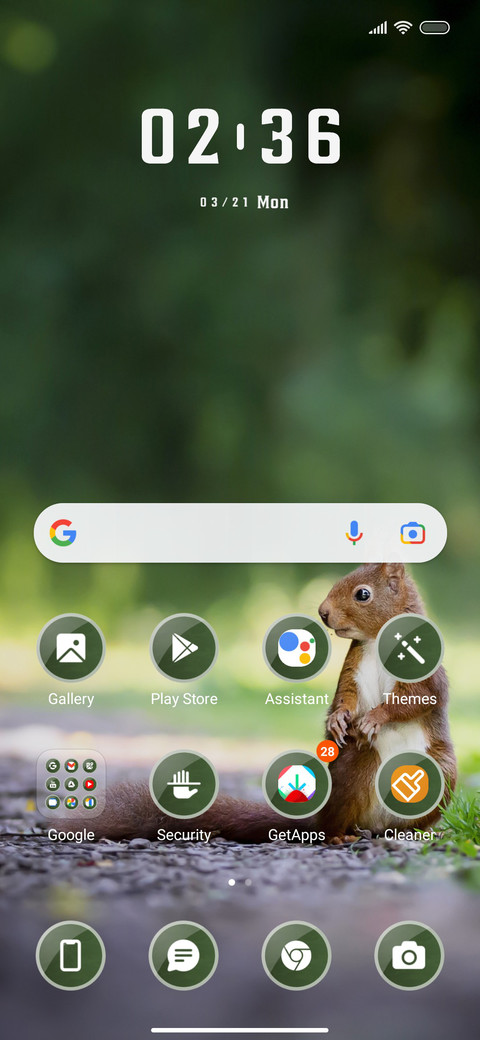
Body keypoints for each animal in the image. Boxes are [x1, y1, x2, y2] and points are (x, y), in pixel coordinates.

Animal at [78, 562, 456, 843]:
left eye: (363, 594)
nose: (323, 613)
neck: (376, 640)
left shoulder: (426, 673)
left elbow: (416, 700)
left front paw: (375, 718)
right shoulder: (354, 667)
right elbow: (345, 697)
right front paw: (338, 720)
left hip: (443, 775)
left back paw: (409, 834)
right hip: (354, 770)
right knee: (336, 820)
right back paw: (339, 835)